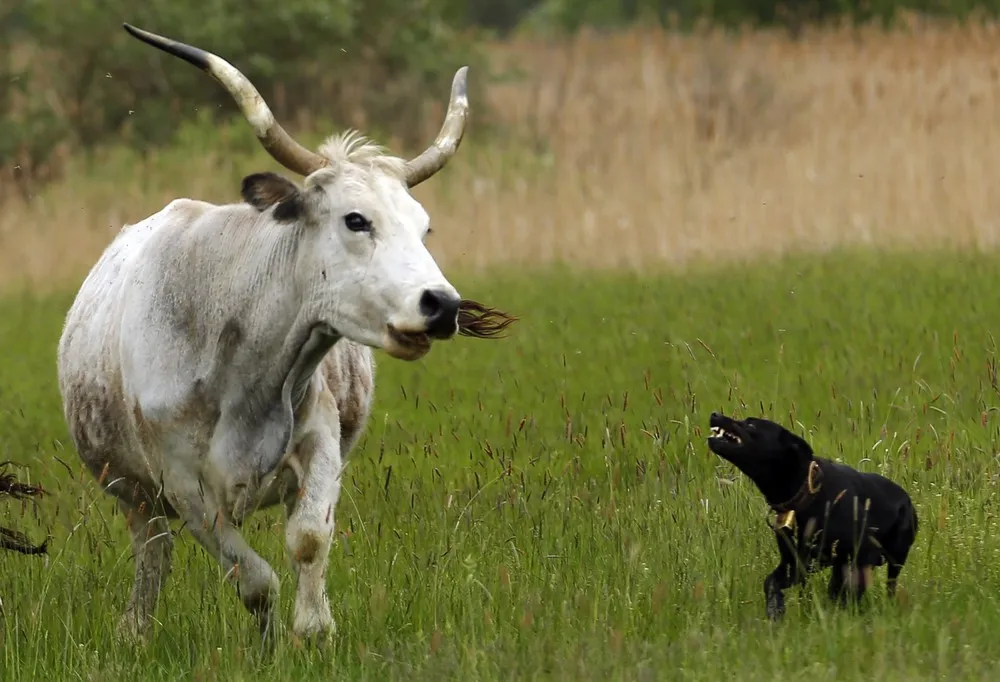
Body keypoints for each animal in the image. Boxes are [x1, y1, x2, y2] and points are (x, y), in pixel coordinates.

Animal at [53, 23, 512, 644]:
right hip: (133, 494)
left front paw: (315, 630)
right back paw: (135, 631)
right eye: (355, 219)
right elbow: (253, 578)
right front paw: (271, 639)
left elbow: (309, 538)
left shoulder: (320, 443)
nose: (441, 305)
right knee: (153, 553)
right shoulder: (184, 486)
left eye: (424, 228)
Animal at [708, 412, 916, 620]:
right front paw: (776, 610)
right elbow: (771, 582)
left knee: (888, 585)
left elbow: (847, 593)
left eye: (751, 424)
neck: (807, 493)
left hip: (894, 558)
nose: (715, 414)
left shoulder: (859, 558)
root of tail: (907, 500)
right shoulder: (795, 563)